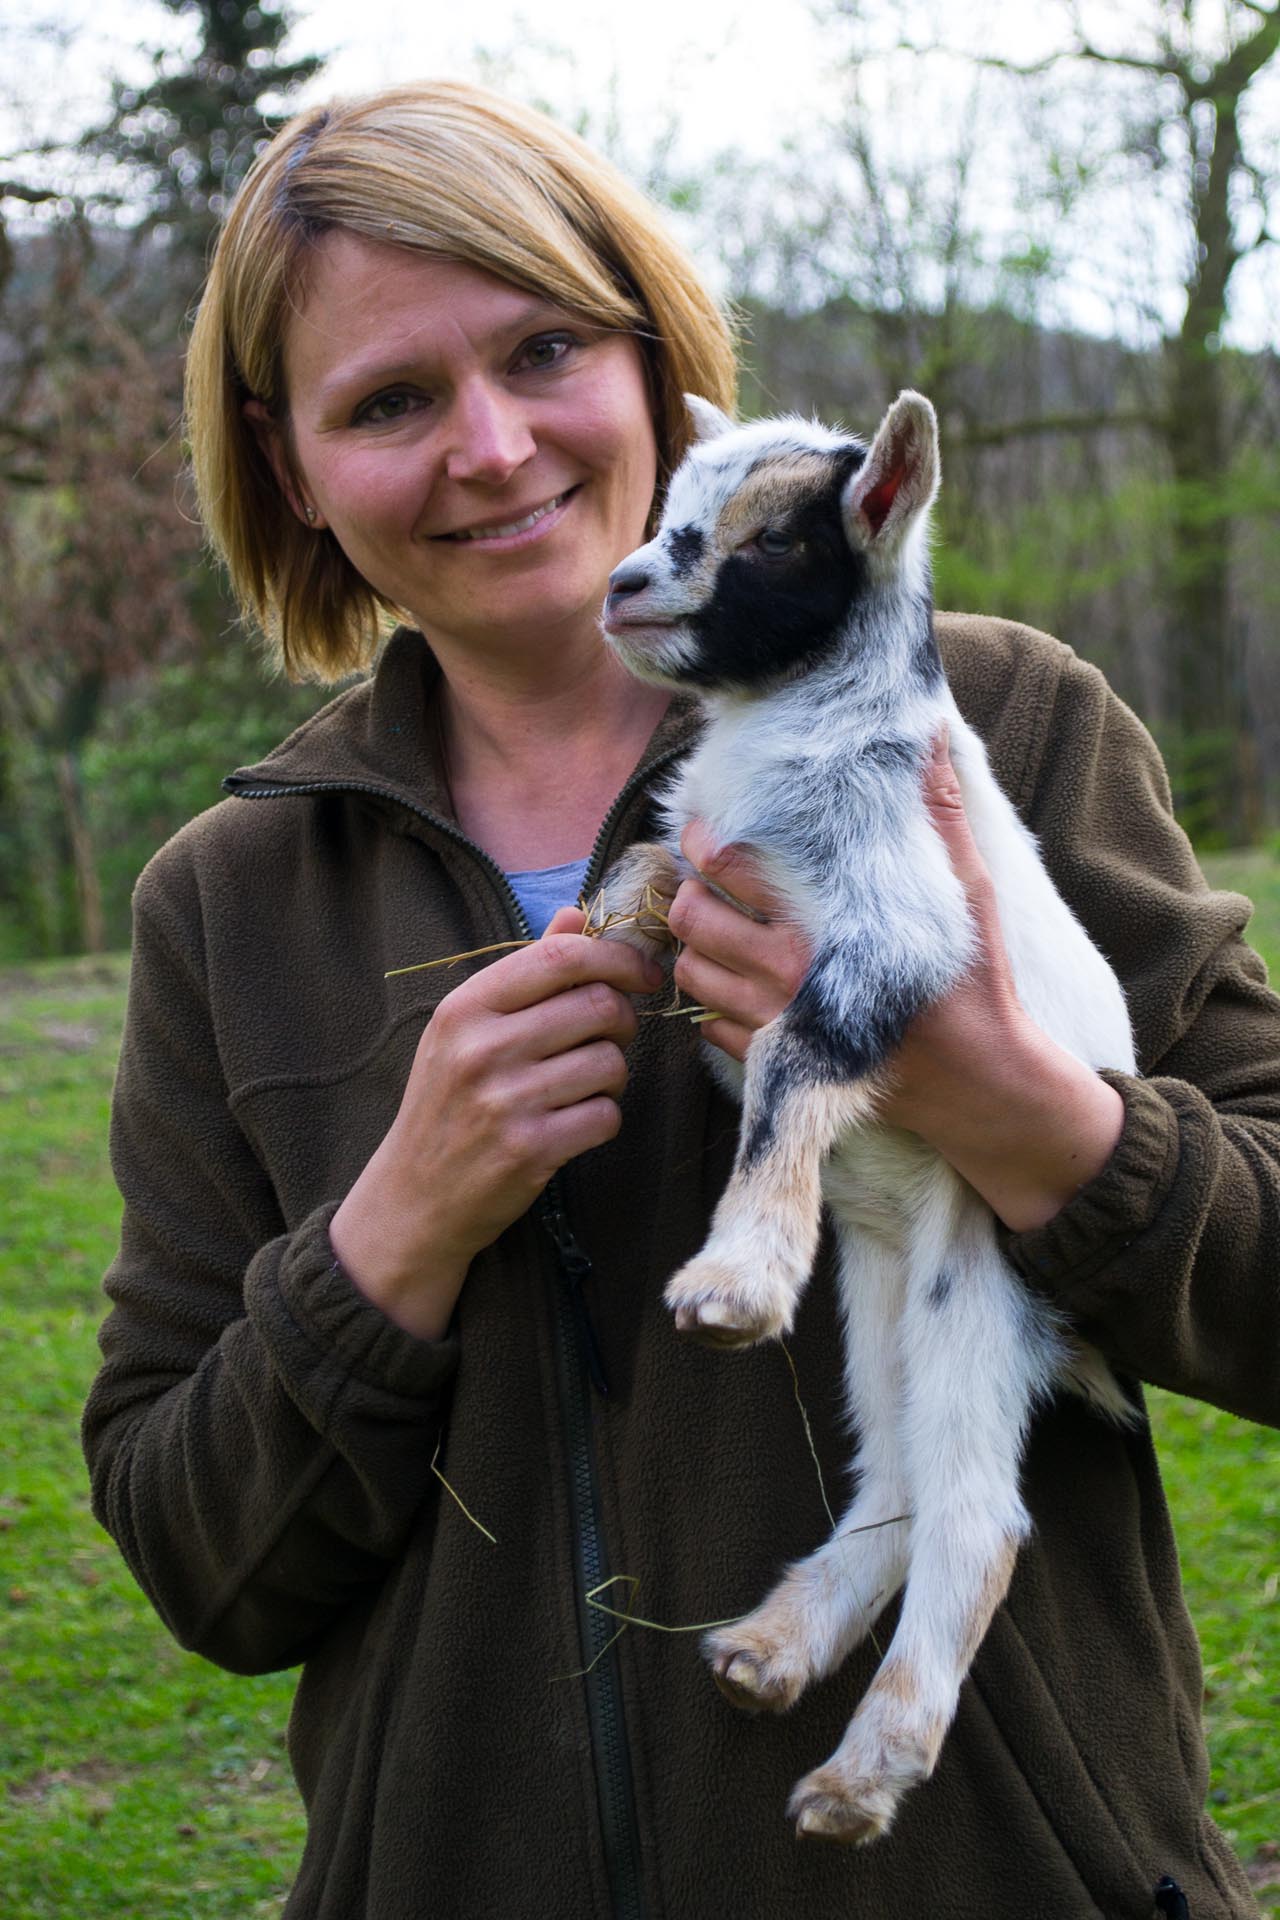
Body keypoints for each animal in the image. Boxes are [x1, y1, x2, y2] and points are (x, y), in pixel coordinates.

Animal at [594, 389, 1136, 1843]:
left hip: (976, 1289)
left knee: (976, 1519)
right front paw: (571, 948)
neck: (796, 725)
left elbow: (790, 1063)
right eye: (673, 506)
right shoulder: (712, 862)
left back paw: (858, 1778)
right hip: (881, 1290)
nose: (621, 585)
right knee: (893, 1479)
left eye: (776, 539)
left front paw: (732, 1280)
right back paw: (769, 1651)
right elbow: (650, 866)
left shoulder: (895, 941)